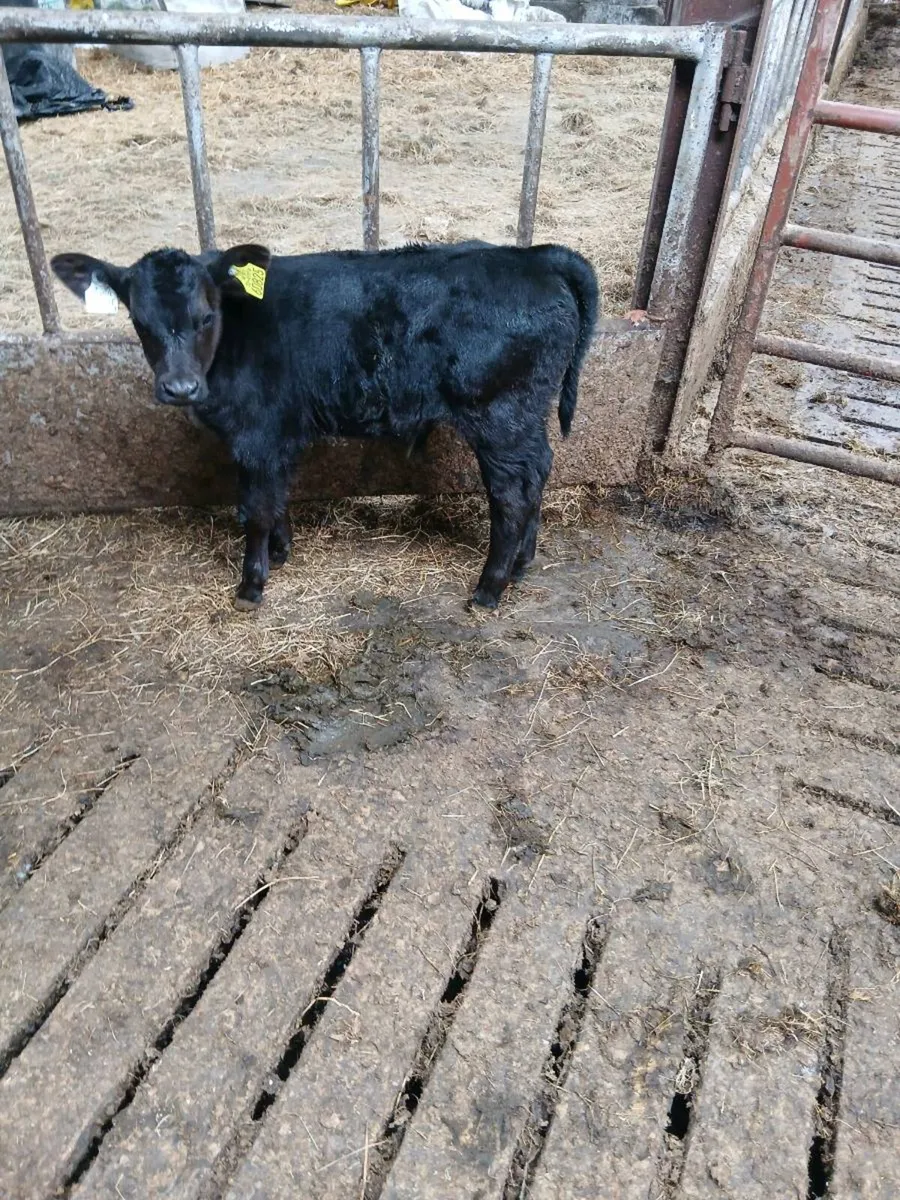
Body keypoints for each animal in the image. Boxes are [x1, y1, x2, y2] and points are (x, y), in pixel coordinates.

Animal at [51, 240, 599, 611]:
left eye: (206, 317)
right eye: (139, 322)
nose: (179, 388)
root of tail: (535, 256)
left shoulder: (257, 434)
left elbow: (255, 508)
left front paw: (251, 584)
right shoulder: (274, 438)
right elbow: (275, 497)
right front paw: (281, 551)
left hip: (498, 415)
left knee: (511, 497)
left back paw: (489, 587)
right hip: (525, 416)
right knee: (539, 471)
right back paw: (523, 563)